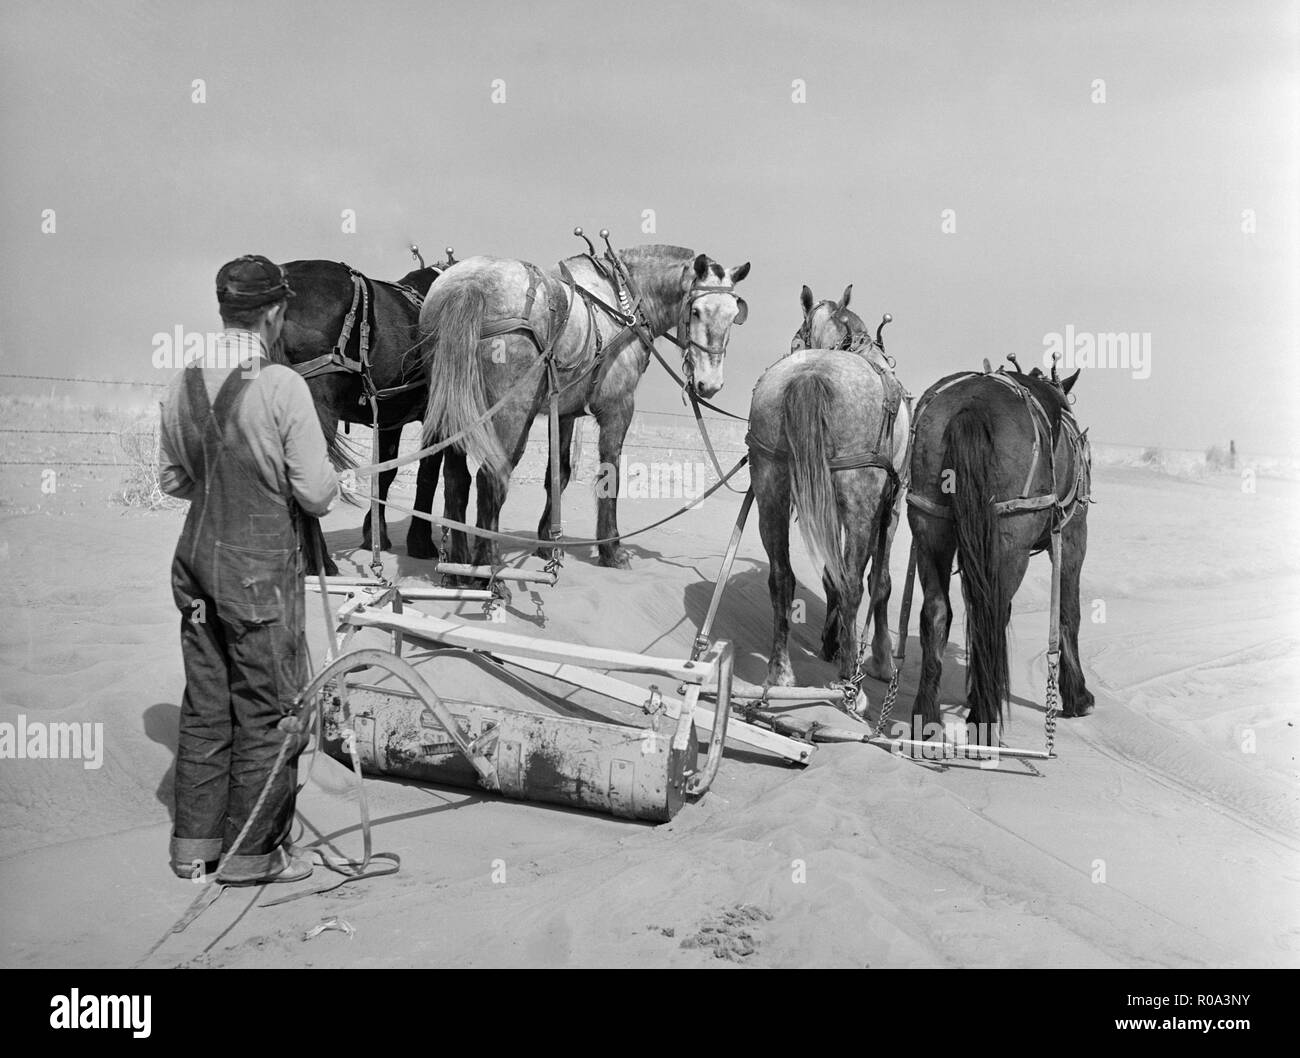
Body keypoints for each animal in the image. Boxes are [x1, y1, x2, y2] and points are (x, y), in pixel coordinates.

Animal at [276, 257, 444, 571]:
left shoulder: (390, 420)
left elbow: (386, 472)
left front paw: (375, 534)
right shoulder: (436, 415)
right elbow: (428, 472)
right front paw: (420, 542)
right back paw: (320, 562)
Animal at [904, 369, 1097, 743]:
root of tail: (972, 406)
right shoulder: (1073, 535)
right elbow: (1069, 613)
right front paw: (1078, 695)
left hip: (929, 522)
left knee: (936, 611)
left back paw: (927, 716)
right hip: (1010, 541)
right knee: (990, 614)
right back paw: (984, 718)